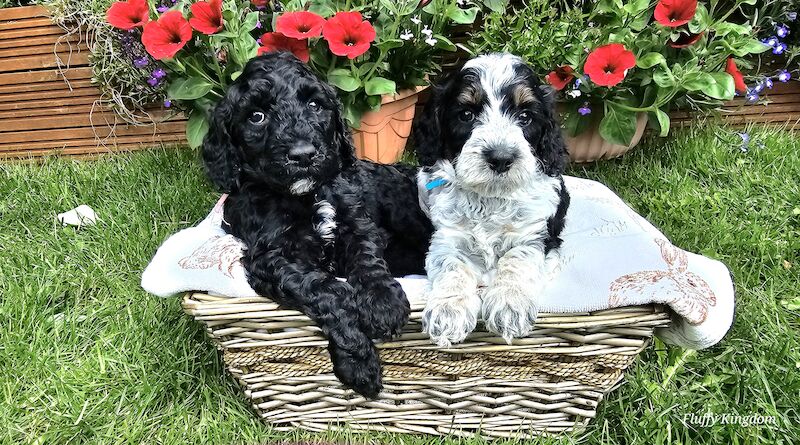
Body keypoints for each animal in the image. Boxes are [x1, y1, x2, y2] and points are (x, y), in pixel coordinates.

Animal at [203, 52, 434, 396]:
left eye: (315, 105)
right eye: (256, 116)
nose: (303, 155)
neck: (306, 195)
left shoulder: (357, 222)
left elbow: (367, 260)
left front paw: (383, 304)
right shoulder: (270, 258)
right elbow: (325, 290)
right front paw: (359, 362)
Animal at [412, 53, 568, 346]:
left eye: (525, 116)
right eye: (466, 114)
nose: (500, 158)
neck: (490, 198)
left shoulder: (536, 234)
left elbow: (517, 259)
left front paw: (509, 305)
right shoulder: (447, 236)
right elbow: (451, 265)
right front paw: (448, 310)